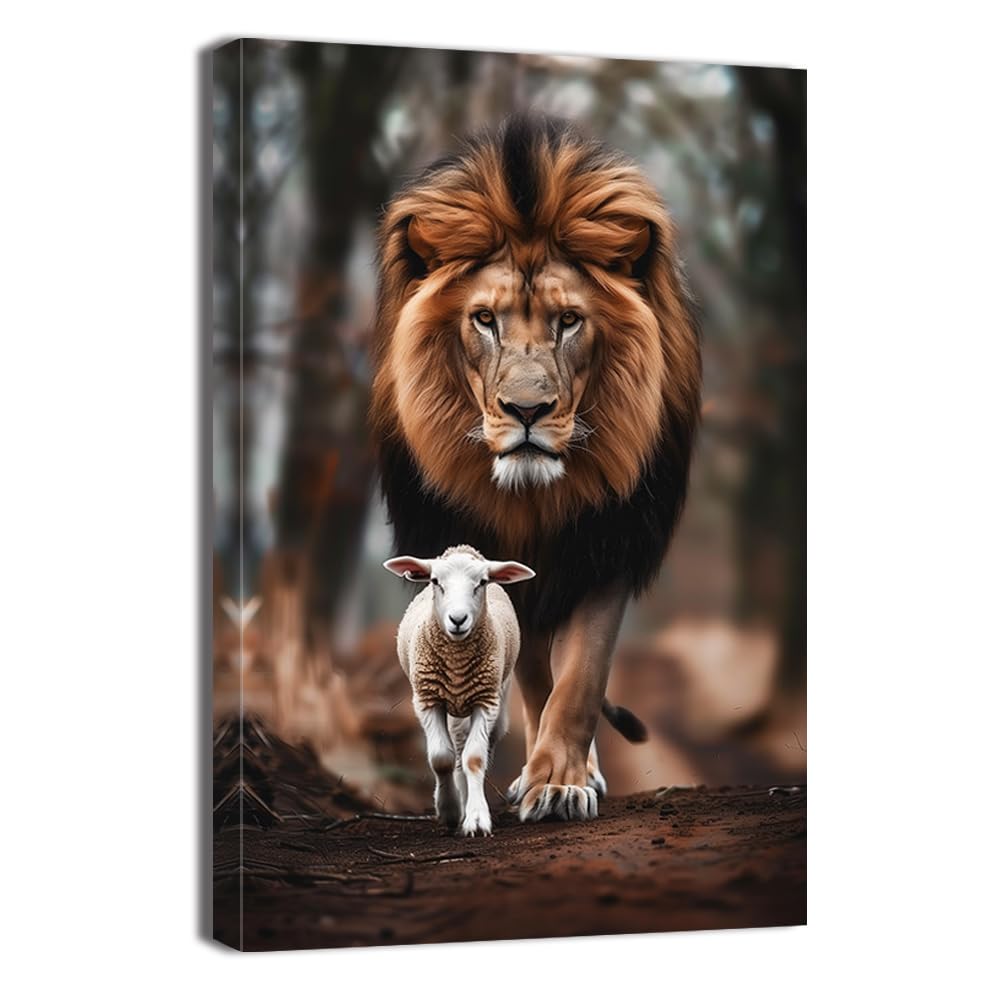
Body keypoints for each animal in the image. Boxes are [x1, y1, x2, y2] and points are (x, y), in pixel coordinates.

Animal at [383, 545, 535, 836]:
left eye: (482, 582)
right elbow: (442, 758)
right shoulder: (427, 700)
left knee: (474, 751)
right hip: (453, 708)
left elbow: (474, 759)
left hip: (497, 699)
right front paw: (450, 812)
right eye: (435, 581)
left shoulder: (485, 701)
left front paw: (476, 819)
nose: (458, 619)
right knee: (456, 753)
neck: (456, 663)